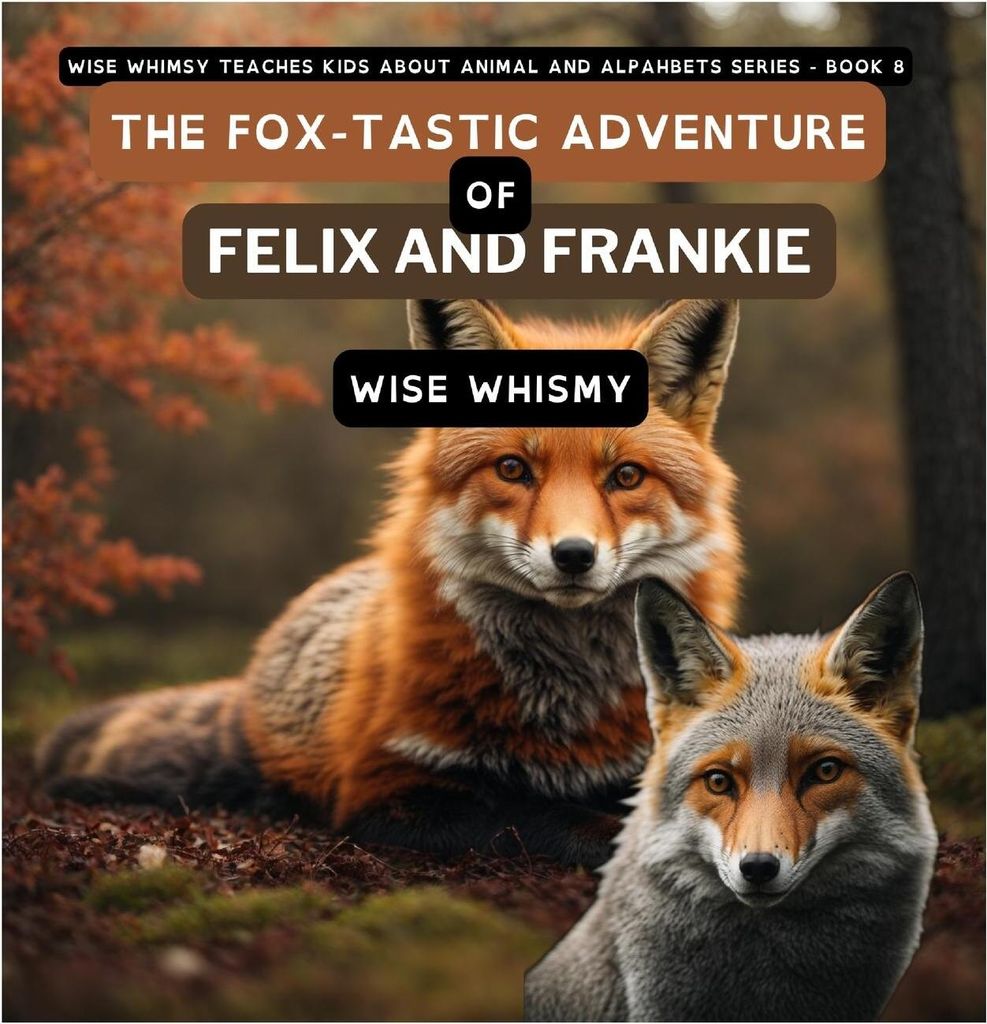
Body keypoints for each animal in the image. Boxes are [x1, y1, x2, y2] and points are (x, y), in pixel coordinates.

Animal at [37, 297, 743, 867]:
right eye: (513, 469)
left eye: (626, 476)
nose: (573, 555)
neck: (563, 703)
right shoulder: (389, 790)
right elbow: (548, 815)